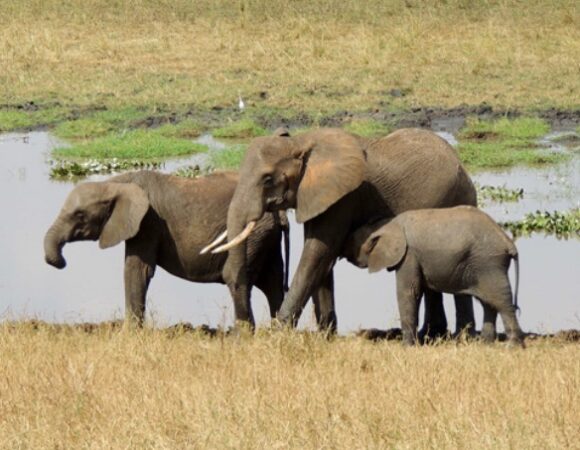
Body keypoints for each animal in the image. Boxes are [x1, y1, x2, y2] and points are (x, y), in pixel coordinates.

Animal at [44, 171, 288, 328]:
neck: (114, 183)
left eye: (79, 215)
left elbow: (137, 270)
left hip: (252, 234)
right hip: (267, 238)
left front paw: (129, 334)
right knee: (273, 283)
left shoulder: (148, 222)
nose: (61, 262)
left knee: (236, 276)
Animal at [208, 128, 476, 336]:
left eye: (267, 179)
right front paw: (326, 335)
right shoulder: (318, 198)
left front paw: (277, 332)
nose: (242, 331)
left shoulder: (344, 198)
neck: (301, 143)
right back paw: (432, 333)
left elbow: (317, 253)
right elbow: (321, 260)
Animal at [344, 206, 524, 346]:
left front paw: (407, 347)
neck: (389, 224)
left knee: (502, 302)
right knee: (489, 303)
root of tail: (509, 243)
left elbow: (409, 292)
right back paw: (485, 344)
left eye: (355, 243)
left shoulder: (409, 255)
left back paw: (512, 347)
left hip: (488, 263)